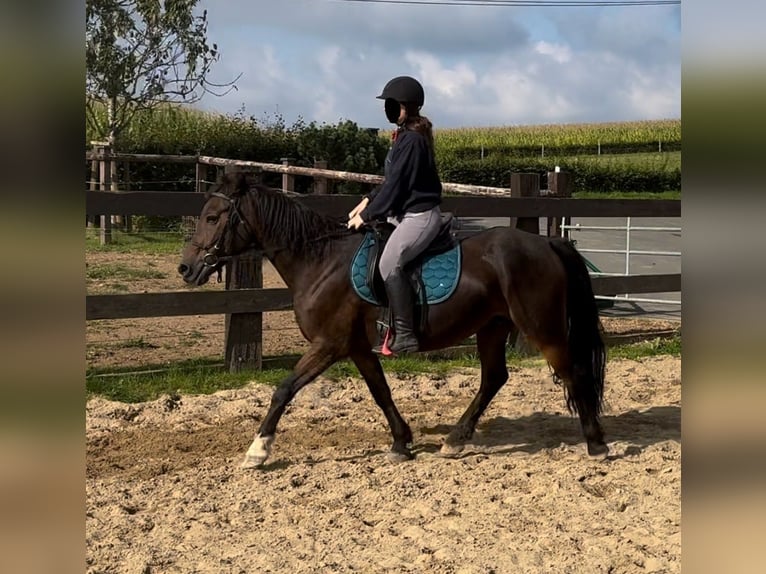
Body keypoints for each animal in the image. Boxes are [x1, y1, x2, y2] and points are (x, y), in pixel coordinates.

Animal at [180, 174, 612, 468]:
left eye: (213, 217)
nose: (187, 268)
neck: (320, 262)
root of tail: (547, 242)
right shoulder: (356, 347)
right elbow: (380, 391)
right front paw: (401, 442)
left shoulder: (328, 345)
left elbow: (284, 390)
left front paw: (257, 450)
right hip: (492, 327)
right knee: (494, 379)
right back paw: (455, 439)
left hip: (543, 328)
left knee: (572, 370)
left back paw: (596, 443)